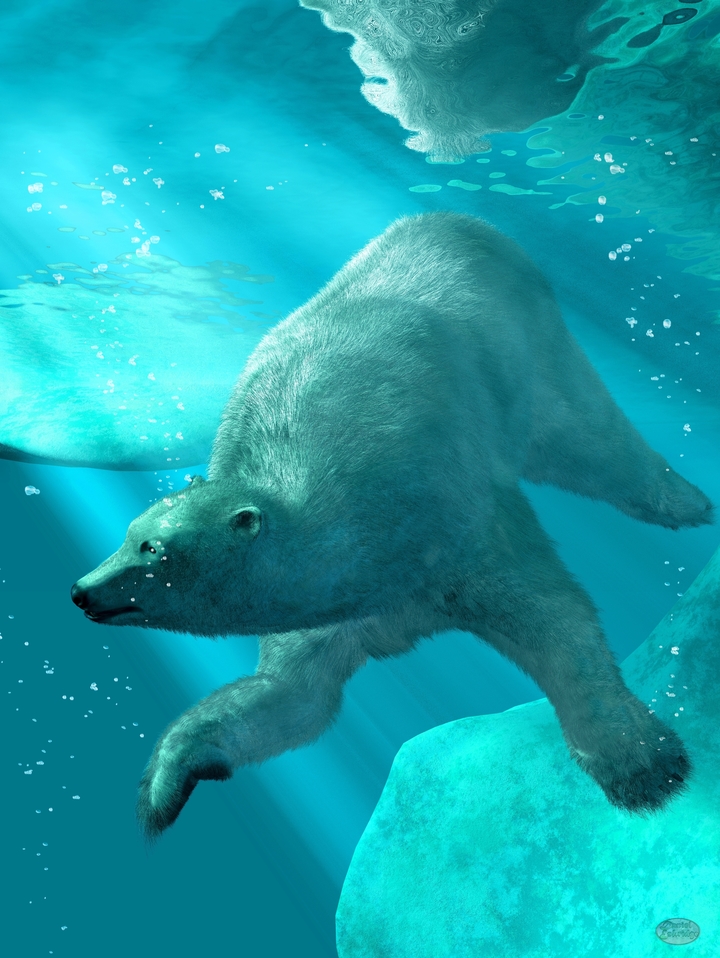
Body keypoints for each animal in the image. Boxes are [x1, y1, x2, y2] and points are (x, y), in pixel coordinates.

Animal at [71, 212, 714, 838]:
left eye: (153, 548)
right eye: (128, 533)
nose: (83, 590)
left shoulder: (454, 515)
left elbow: (553, 614)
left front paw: (643, 766)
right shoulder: (337, 609)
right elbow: (293, 698)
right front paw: (167, 781)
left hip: (535, 352)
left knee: (592, 439)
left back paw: (688, 502)